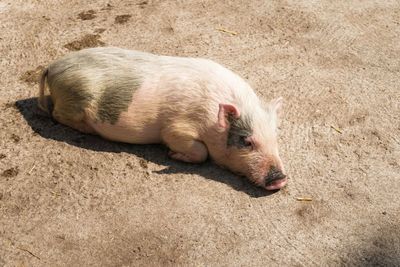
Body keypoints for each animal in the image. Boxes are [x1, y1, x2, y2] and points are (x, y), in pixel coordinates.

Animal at [38, 47, 288, 191]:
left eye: (275, 139)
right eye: (246, 141)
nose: (280, 178)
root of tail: (52, 67)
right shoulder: (175, 128)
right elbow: (200, 152)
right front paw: (171, 155)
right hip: (74, 101)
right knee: (55, 114)